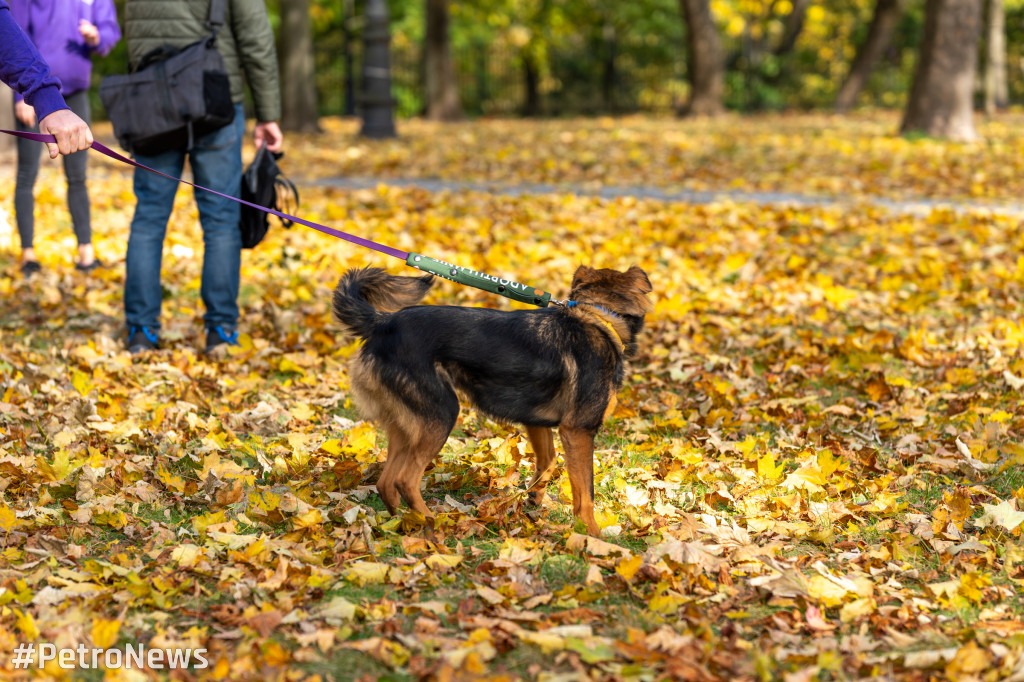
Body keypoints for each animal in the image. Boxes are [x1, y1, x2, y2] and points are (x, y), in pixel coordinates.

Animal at [331, 262, 651, 532]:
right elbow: (586, 492)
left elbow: (548, 460)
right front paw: (591, 535)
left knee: (386, 483)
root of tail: (382, 323)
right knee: (404, 480)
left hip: (407, 425)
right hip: (442, 413)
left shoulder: (537, 421)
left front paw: (533, 498)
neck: (596, 316)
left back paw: (403, 523)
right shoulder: (579, 430)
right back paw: (433, 523)